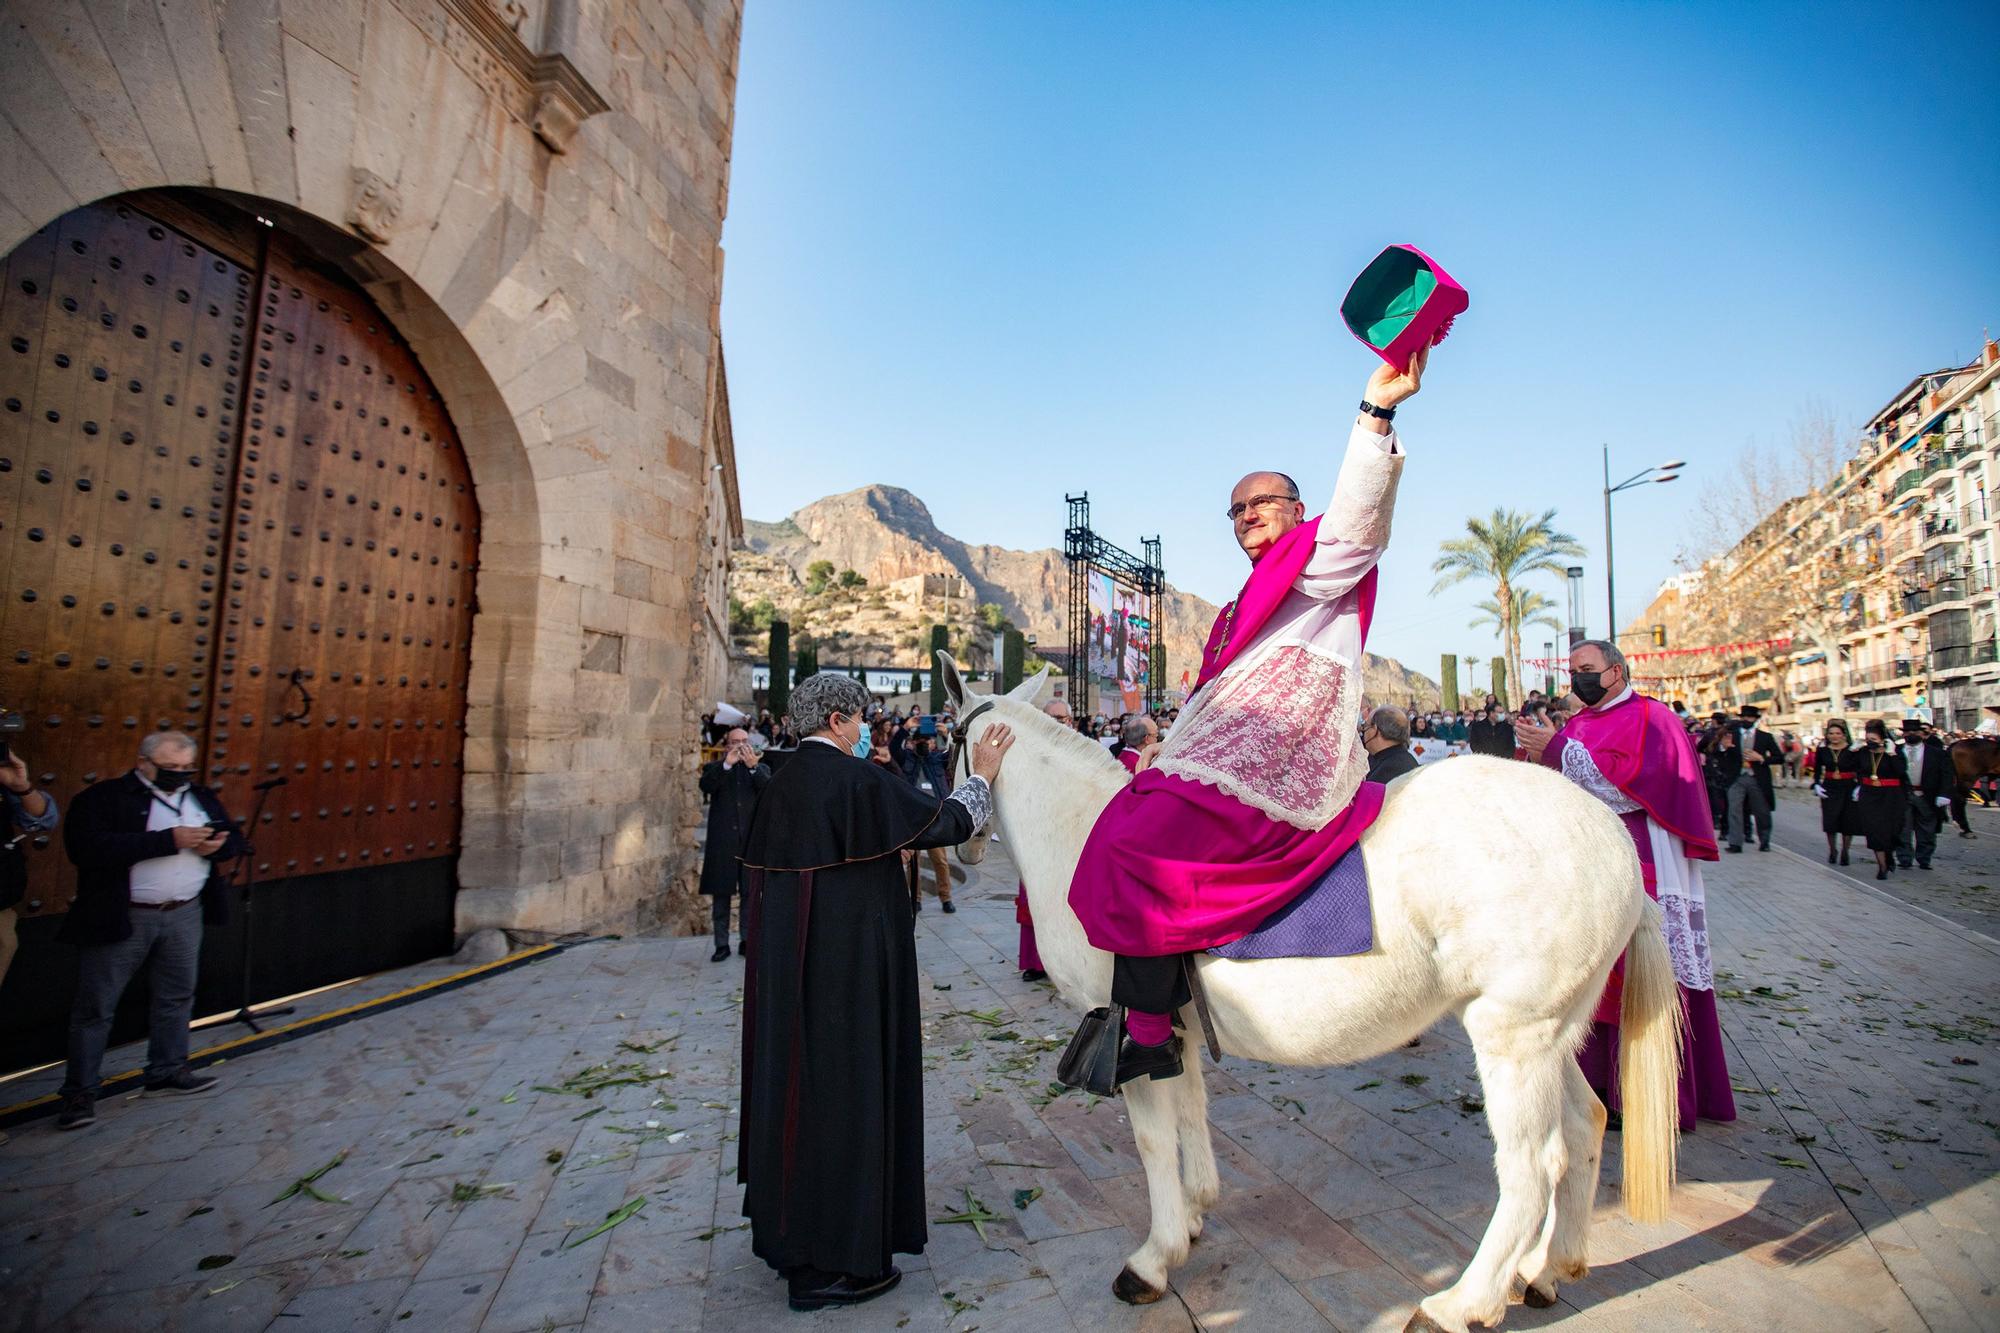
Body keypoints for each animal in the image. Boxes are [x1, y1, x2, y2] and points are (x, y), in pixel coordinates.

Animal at [944, 656, 1680, 1328]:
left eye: (950, 742)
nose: (964, 850)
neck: (1079, 831)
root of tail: (1613, 838)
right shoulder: (1174, 1029)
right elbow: (1191, 1115)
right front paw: (1194, 1212)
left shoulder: (1128, 1029)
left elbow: (1154, 1142)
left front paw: (1154, 1257)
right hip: (1555, 1034)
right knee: (1585, 1127)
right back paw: (1546, 1269)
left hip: (1513, 1037)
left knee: (1531, 1167)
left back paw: (1461, 1303)